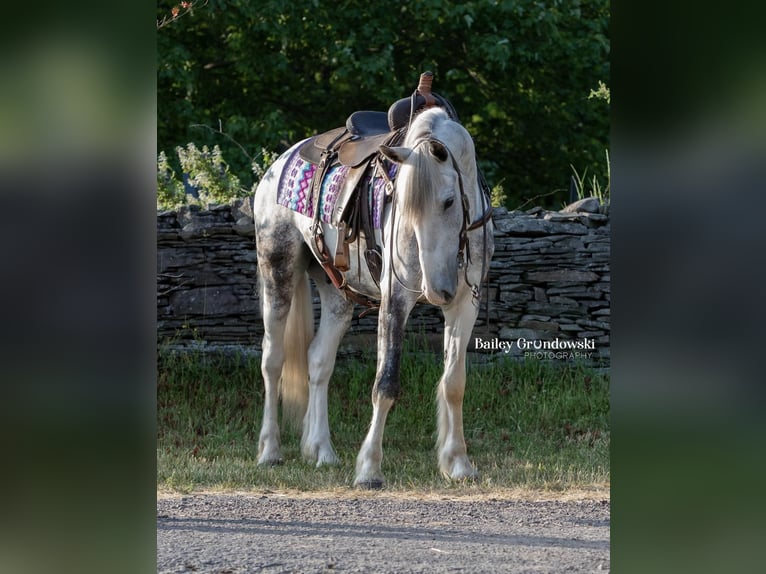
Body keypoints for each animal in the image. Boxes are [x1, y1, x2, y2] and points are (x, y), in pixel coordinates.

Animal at [250, 106, 492, 488]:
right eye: (403, 205)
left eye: (449, 201)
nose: (435, 290)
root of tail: (280, 163)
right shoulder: (396, 300)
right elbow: (385, 385)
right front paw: (369, 469)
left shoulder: (465, 303)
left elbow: (454, 382)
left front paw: (458, 463)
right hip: (278, 270)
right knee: (272, 361)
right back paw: (270, 451)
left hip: (337, 294)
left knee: (319, 362)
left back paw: (321, 451)